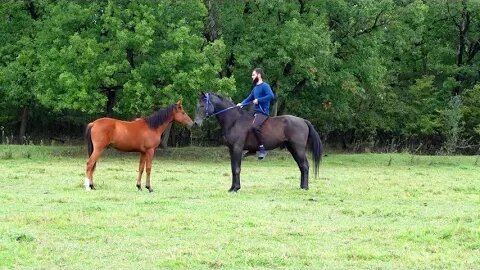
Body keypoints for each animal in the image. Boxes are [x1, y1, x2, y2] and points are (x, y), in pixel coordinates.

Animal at [194, 93, 322, 192]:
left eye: (202, 105)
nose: (196, 123)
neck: (234, 121)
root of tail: (303, 121)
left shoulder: (237, 148)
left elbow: (236, 168)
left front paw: (236, 188)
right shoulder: (231, 149)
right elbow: (233, 168)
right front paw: (232, 187)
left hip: (298, 149)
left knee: (305, 166)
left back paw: (305, 187)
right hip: (293, 149)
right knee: (301, 166)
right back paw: (302, 186)